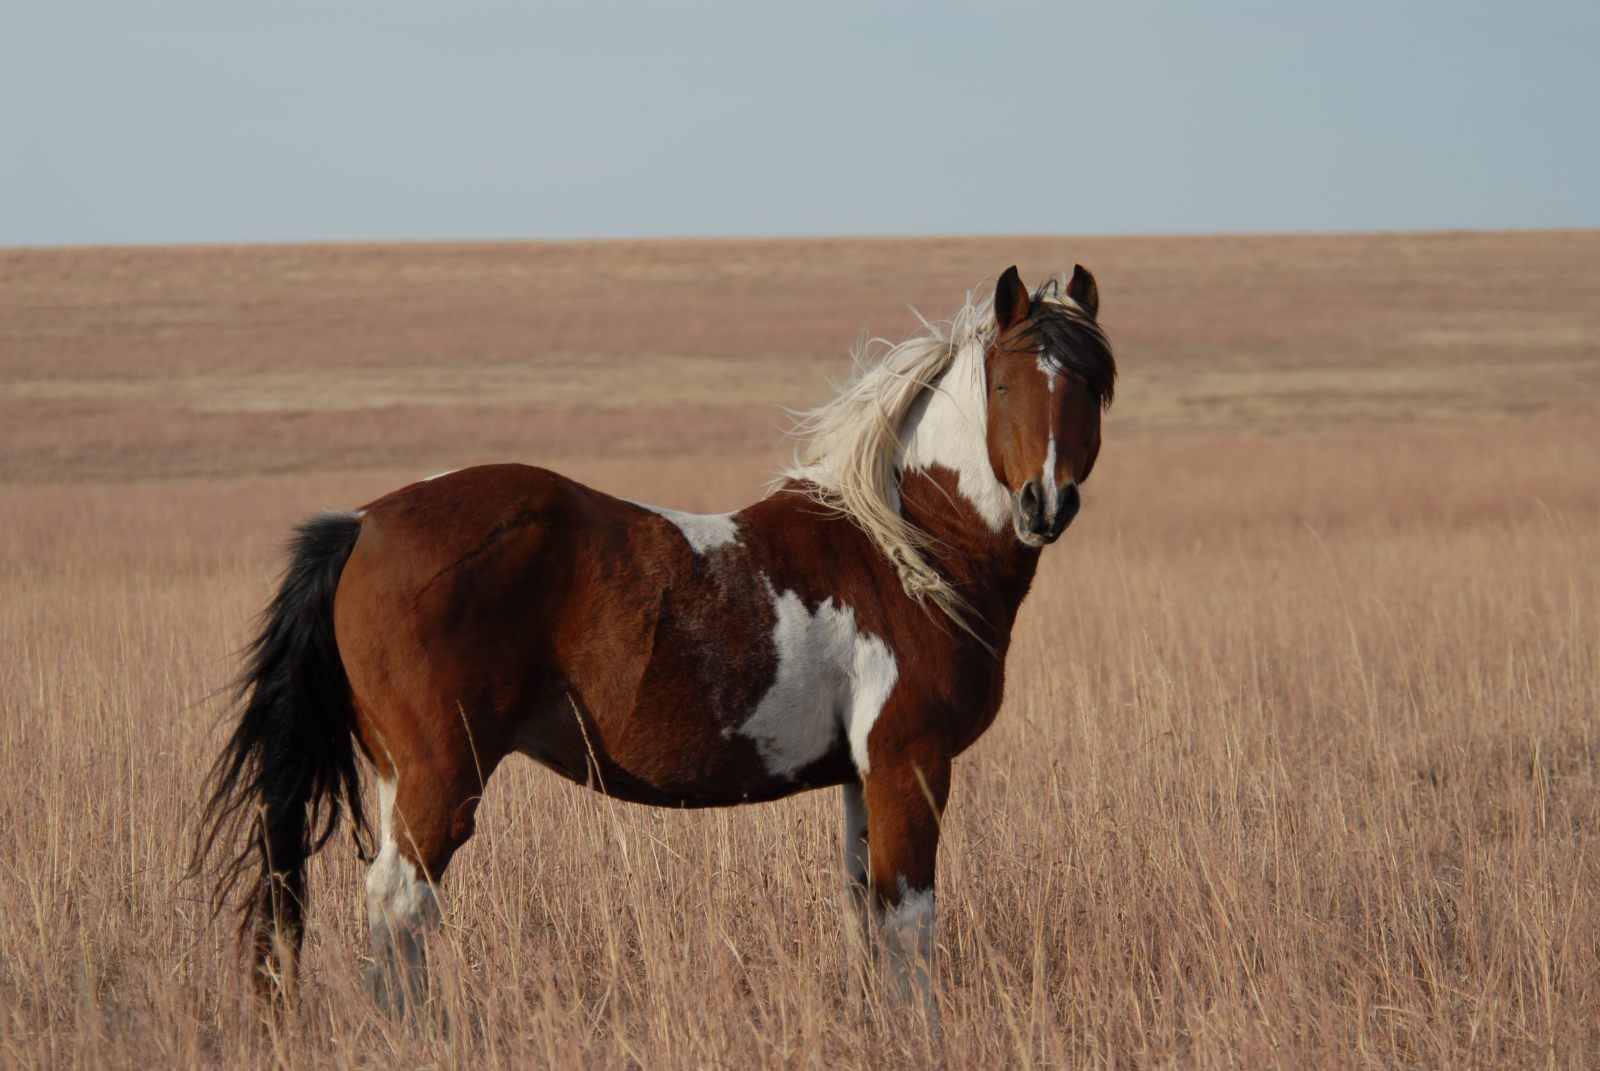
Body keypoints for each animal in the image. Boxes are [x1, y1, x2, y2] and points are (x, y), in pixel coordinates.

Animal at [196, 260, 1113, 1011]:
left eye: (1094, 385)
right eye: (1005, 385)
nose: (1046, 502)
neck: (903, 551)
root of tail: (364, 523)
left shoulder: (864, 775)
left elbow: (865, 913)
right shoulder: (910, 762)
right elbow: (910, 921)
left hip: (396, 775)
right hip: (439, 774)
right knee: (399, 906)